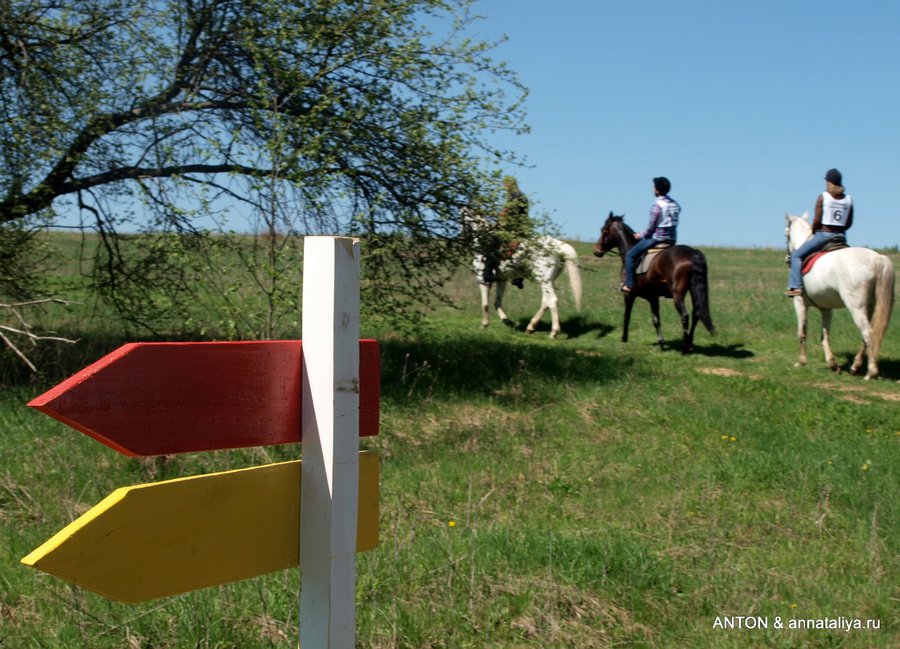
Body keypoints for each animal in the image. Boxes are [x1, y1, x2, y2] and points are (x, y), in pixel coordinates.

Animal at [596, 211, 712, 354]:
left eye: (604, 231)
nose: (597, 250)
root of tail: (693, 253)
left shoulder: (629, 294)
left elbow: (627, 315)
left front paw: (624, 338)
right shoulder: (653, 296)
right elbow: (656, 319)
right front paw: (661, 343)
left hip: (678, 294)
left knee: (685, 316)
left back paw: (685, 347)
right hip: (693, 290)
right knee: (696, 314)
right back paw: (689, 344)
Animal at [780, 213, 892, 378]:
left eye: (786, 234)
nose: (788, 259)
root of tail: (877, 259)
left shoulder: (799, 302)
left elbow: (802, 332)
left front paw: (801, 361)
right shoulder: (826, 309)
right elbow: (824, 336)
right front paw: (833, 364)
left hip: (856, 308)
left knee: (868, 333)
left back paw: (871, 371)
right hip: (871, 307)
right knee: (867, 335)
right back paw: (856, 366)